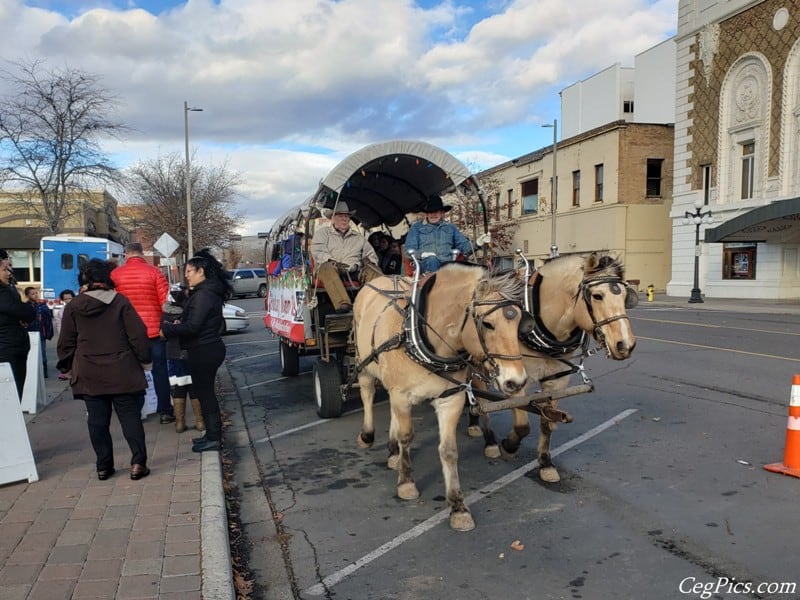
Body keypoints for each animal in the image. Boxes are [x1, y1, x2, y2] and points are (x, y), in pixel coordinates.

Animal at [352, 262, 528, 528]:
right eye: (488, 324)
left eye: (518, 320)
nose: (516, 382)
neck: (420, 337)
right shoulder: (402, 395)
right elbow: (407, 436)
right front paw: (406, 483)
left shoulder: (450, 399)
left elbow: (448, 450)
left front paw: (457, 506)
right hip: (364, 363)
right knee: (367, 393)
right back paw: (368, 435)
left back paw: (393, 452)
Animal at [468, 252, 636, 482]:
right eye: (597, 296)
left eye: (625, 296)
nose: (625, 344)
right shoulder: (515, 379)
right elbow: (522, 425)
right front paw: (509, 446)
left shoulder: (557, 380)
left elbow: (547, 422)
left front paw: (545, 463)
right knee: (481, 399)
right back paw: (490, 441)